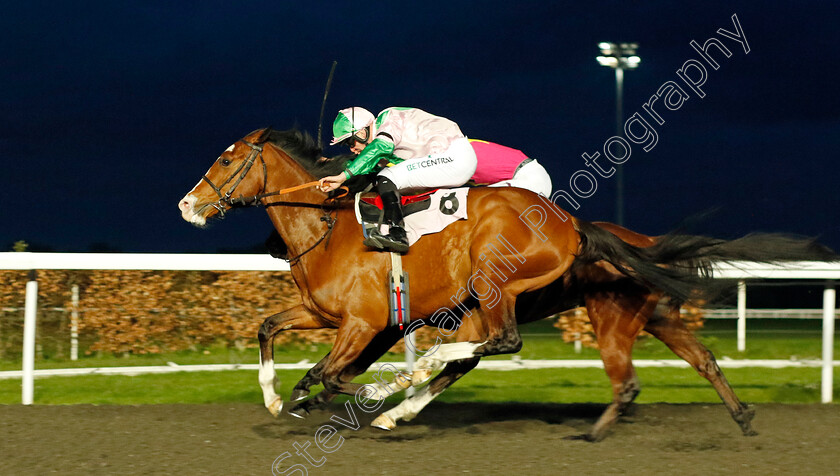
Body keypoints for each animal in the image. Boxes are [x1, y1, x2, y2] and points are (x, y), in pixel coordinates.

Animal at [179, 128, 832, 436]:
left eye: (225, 160)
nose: (187, 205)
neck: (330, 225)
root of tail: (575, 226)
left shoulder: (365, 323)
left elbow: (334, 373)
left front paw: (360, 394)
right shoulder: (325, 314)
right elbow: (270, 328)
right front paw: (275, 397)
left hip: (514, 291)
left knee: (502, 344)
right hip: (648, 314)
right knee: (701, 359)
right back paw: (742, 416)